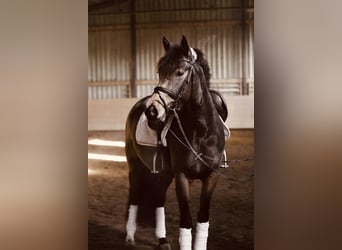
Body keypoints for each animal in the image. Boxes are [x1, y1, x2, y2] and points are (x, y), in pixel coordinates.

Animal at [124, 35, 228, 250]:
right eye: (160, 71)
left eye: (180, 72)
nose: (151, 111)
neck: (201, 131)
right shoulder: (181, 176)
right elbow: (186, 221)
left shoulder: (212, 176)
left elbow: (202, 218)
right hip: (135, 168)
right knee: (135, 197)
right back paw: (129, 237)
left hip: (163, 174)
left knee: (158, 200)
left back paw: (163, 240)